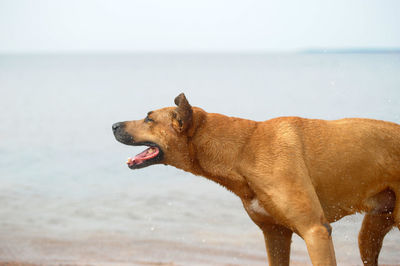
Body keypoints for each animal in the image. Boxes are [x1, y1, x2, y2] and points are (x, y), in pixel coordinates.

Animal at [112, 93, 400, 266]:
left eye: (148, 118)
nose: (113, 125)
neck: (243, 150)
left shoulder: (315, 231)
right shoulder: (275, 234)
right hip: (370, 233)